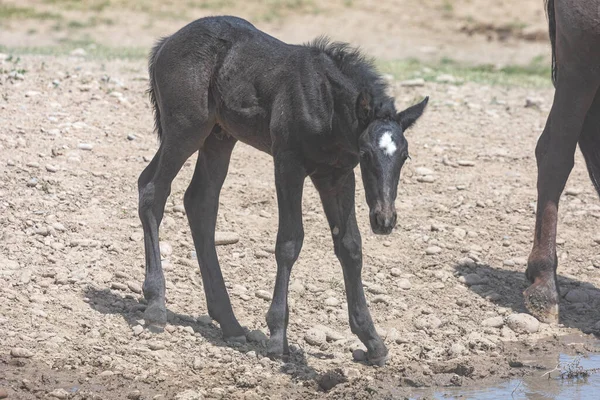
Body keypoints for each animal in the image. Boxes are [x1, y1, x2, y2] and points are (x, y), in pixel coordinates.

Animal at [137, 15, 426, 366]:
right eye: (367, 154)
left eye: (405, 156)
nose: (384, 220)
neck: (325, 103)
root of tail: (166, 42)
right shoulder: (288, 164)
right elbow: (289, 242)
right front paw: (277, 337)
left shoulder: (337, 175)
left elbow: (350, 246)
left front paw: (372, 340)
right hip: (186, 129)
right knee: (152, 190)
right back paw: (156, 306)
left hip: (220, 136)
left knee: (199, 201)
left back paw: (230, 323)